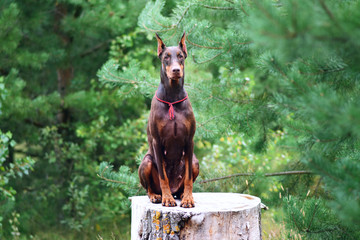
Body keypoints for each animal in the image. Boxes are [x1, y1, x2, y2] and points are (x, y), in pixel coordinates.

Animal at [139, 32, 200, 207]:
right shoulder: (157, 142)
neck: (172, 97)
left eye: (180, 56)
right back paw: (157, 196)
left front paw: (188, 199)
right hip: (146, 161)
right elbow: (163, 176)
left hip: (195, 162)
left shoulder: (189, 140)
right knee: (149, 187)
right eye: (166, 57)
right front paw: (167, 199)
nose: (176, 70)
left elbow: (188, 178)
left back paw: (182, 194)